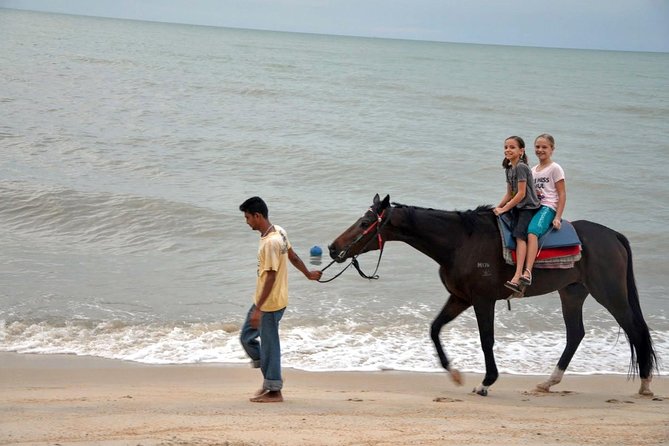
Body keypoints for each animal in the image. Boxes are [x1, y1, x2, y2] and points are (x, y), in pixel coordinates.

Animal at [326, 193, 656, 396]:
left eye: (365, 223)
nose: (332, 247)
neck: (460, 242)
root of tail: (613, 236)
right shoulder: (460, 298)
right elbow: (434, 329)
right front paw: (454, 373)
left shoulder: (483, 300)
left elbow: (486, 339)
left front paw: (486, 383)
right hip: (572, 293)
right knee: (576, 334)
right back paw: (548, 383)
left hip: (609, 293)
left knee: (635, 329)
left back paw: (645, 384)